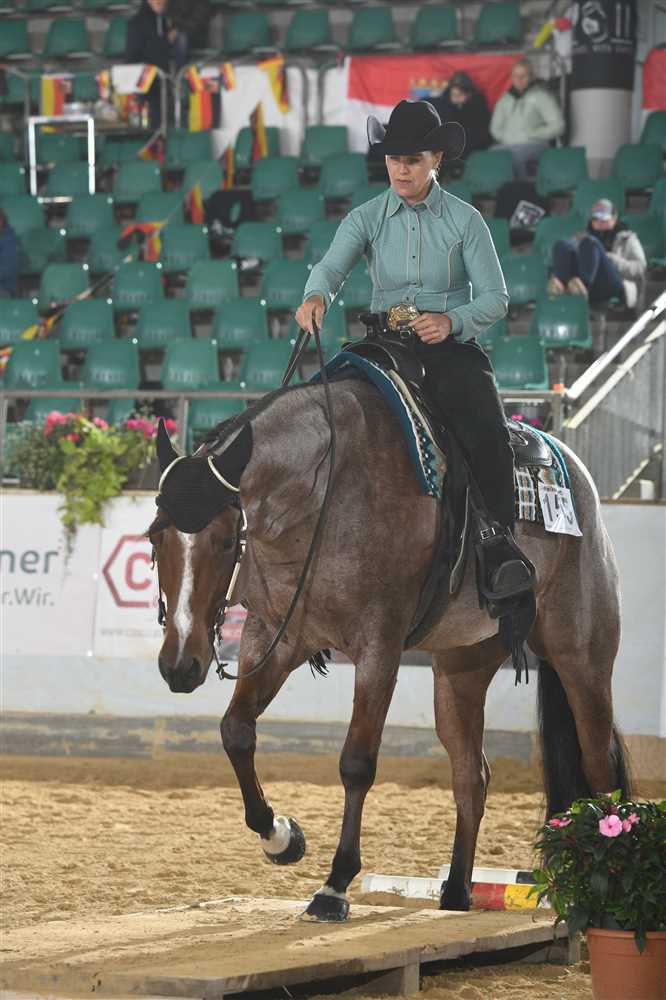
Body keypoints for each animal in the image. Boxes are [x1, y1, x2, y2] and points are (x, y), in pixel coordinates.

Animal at [148, 377, 631, 922]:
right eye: (155, 536)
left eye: (228, 540)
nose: (181, 665)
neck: (322, 494)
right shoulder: (277, 636)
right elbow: (236, 731)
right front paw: (282, 837)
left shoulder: (379, 647)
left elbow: (357, 762)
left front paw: (335, 885)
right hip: (461, 670)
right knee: (472, 776)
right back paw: (456, 894)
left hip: (582, 658)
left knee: (599, 766)